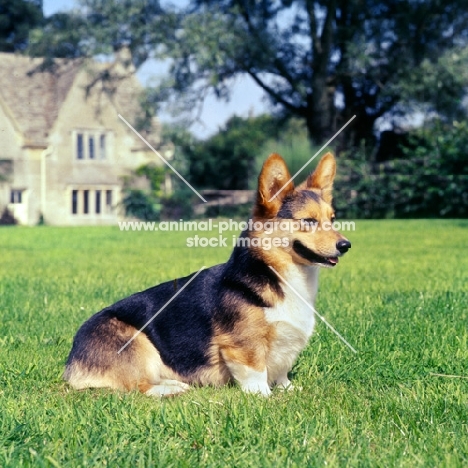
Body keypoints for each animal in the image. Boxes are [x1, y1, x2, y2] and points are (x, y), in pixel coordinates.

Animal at [66, 152, 352, 396]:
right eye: (308, 221)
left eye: (332, 219)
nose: (346, 245)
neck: (285, 277)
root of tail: (71, 363)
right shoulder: (243, 348)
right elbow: (256, 375)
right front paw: (266, 397)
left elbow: (282, 375)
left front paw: (290, 390)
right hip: (137, 342)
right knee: (139, 386)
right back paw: (170, 389)